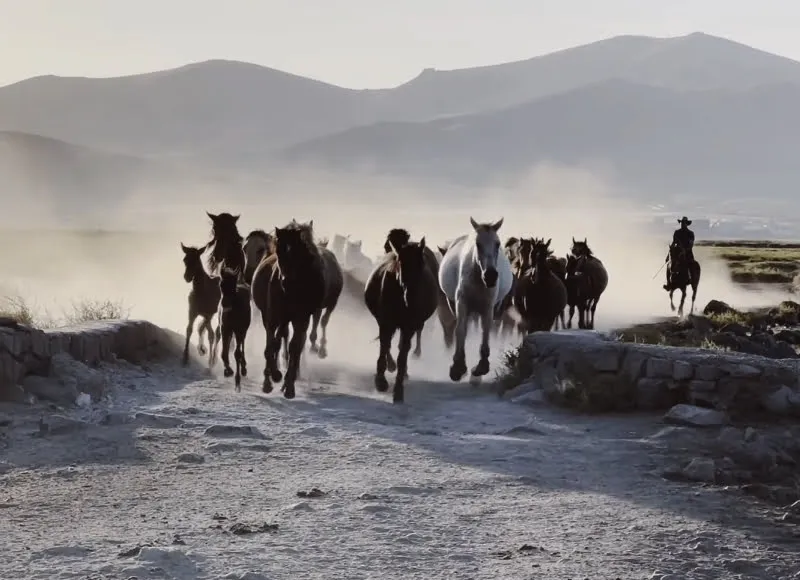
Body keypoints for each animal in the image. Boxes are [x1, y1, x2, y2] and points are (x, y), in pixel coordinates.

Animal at [250, 220, 328, 399]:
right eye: (279, 251)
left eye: (296, 251)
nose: (285, 281)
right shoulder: (273, 315)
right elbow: (272, 344)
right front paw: (271, 378)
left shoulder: (302, 317)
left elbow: (294, 347)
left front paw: (289, 386)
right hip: (276, 316)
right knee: (277, 340)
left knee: (293, 344)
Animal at [365, 237, 438, 403]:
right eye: (401, 264)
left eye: (421, 265)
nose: (410, 298)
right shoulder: (386, 322)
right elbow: (384, 346)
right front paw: (381, 382)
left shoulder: (409, 326)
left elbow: (403, 354)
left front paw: (398, 390)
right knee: (387, 344)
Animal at [438, 217, 513, 382]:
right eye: (478, 244)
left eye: (497, 243)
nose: (491, 275)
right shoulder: (461, 303)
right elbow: (460, 330)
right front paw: (458, 366)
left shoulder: (488, 307)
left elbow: (486, 331)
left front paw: (482, 366)